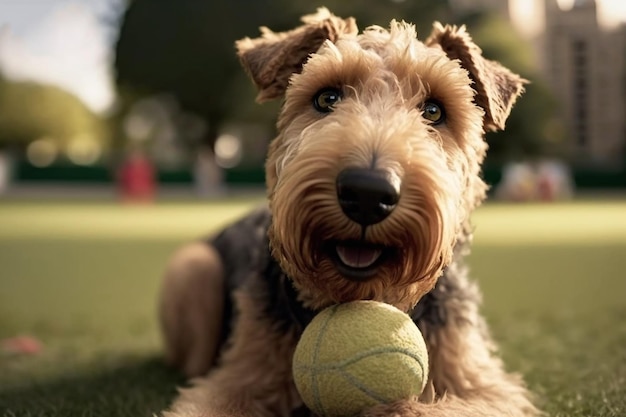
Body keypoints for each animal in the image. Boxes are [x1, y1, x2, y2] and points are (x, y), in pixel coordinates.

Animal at [158, 7, 540, 416]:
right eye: (327, 98)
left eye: (435, 110)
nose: (368, 193)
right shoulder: (232, 383)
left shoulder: (484, 388)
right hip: (194, 268)